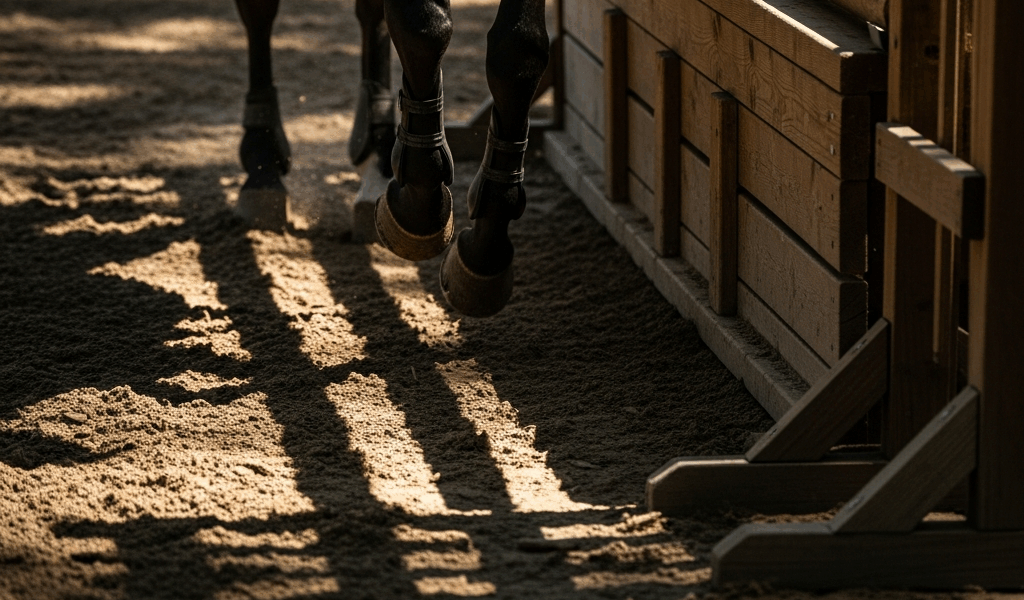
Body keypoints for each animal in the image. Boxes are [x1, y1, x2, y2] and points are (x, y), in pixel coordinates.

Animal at [232, 0, 549, 318]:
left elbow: (518, 51)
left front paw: (484, 252)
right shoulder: (420, 24)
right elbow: (424, 28)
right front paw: (418, 209)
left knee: (372, 15)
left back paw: (378, 153)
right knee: (260, 13)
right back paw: (263, 163)